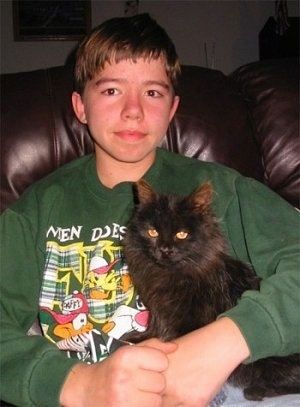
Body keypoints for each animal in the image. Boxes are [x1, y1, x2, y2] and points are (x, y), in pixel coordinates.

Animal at [122, 181, 300, 402]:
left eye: (182, 234)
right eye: (152, 232)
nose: (164, 249)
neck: (169, 275)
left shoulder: (189, 319)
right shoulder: (158, 308)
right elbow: (155, 325)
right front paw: (140, 338)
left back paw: (257, 391)